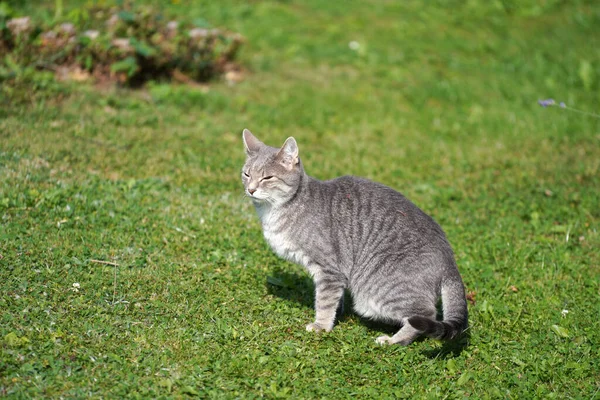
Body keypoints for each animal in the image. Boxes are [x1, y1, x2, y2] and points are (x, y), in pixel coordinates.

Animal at [240, 129, 468, 344]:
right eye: (246, 174)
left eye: (267, 177)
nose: (250, 190)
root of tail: (449, 260)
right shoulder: (337, 274)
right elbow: (335, 298)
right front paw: (337, 313)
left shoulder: (329, 268)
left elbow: (324, 301)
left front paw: (321, 326)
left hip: (378, 289)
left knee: (425, 314)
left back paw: (393, 340)